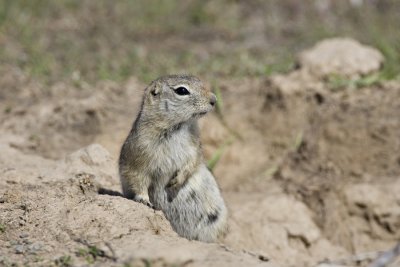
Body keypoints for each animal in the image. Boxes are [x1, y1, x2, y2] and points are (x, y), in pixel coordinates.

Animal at [119, 74, 228, 243]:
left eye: (199, 81)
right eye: (182, 90)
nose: (214, 99)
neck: (177, 127)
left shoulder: (195, 147)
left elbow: (193, 162)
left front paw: (176, 181)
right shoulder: (137, 155)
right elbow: (136, 178)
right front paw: (144, 199)